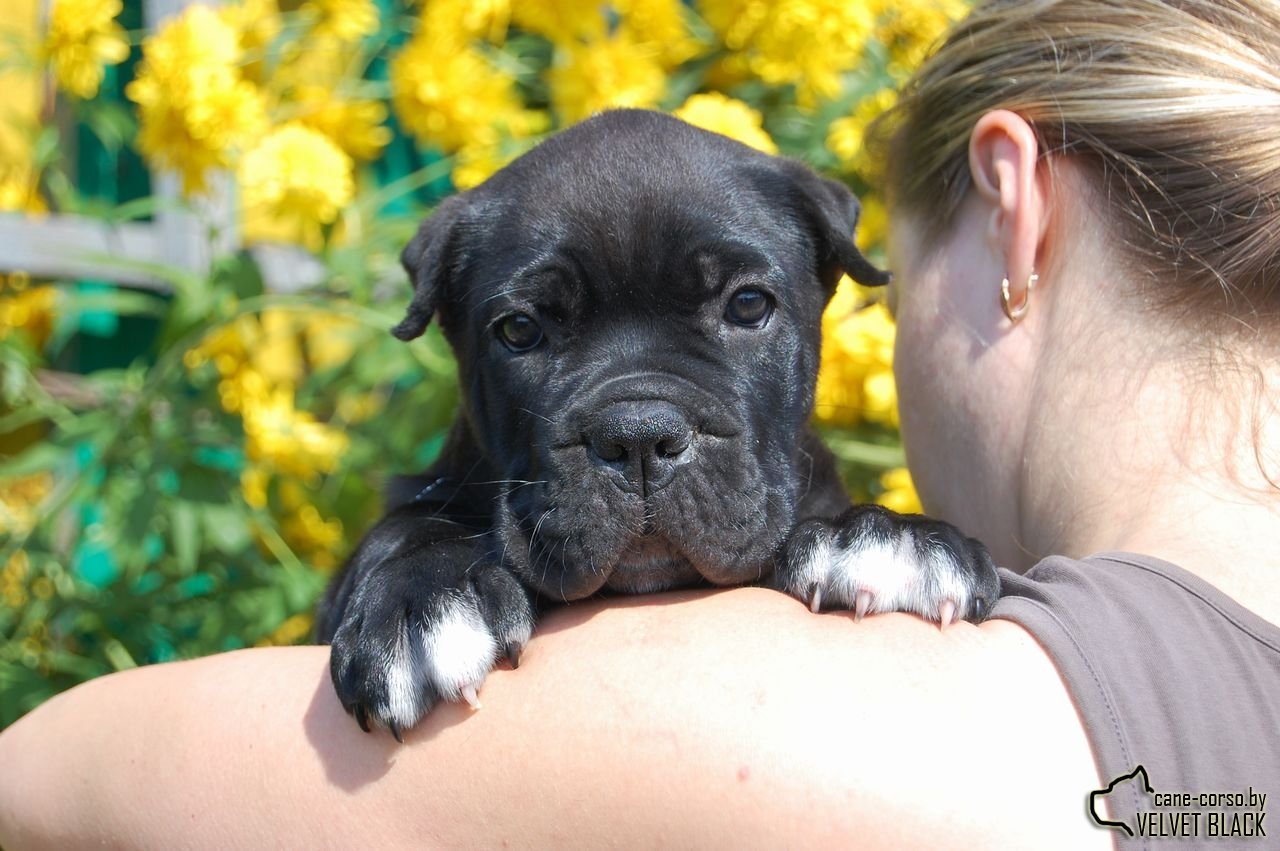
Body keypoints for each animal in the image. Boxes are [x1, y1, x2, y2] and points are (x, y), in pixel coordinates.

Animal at [312, 111, 998, 737]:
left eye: (748, 304)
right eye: (520, 329)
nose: (638, 436)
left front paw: (889, 537)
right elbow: (405, 527)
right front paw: (420, 598)